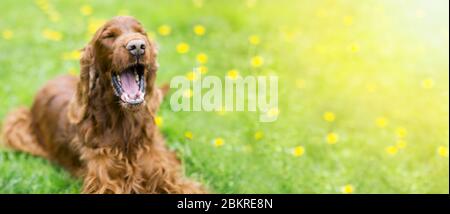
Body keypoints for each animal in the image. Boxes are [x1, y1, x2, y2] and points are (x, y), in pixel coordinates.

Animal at [1, 16, 206, 194]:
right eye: (109, 36)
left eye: (142, 33)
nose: (137, 46)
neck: (125, 126)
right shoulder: (104, 182)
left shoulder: (167, 175)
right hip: (15, 125)